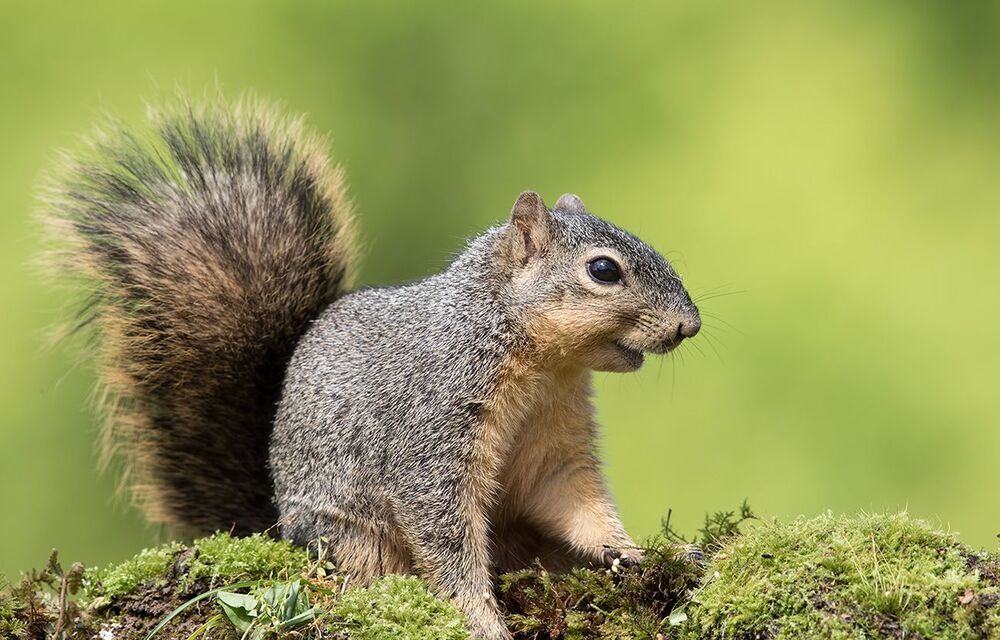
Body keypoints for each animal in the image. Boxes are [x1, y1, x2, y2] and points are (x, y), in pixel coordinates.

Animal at [44, 96, 701, 640]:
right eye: (604, 270)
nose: (689, 325)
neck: (542, 370)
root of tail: (277, 522)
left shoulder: (554, 442)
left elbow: (574, 501)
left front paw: (636, 552)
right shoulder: (433, 436)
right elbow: (445, 539)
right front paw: (480, 621)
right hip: (352, 535)